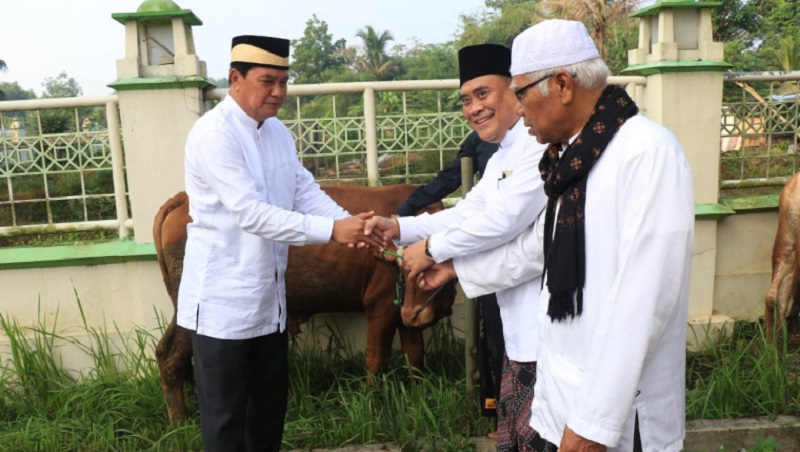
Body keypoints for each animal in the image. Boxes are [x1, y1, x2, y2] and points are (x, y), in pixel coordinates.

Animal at [154, 184, 456, 420]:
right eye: (410, 266)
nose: (413, 313)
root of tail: (181, 198)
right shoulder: (382, 306)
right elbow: (376, 358)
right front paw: (372, 400)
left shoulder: (404, 315)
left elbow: (414, 354)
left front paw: (417, 392)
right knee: (169, 354)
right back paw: (180, 422)